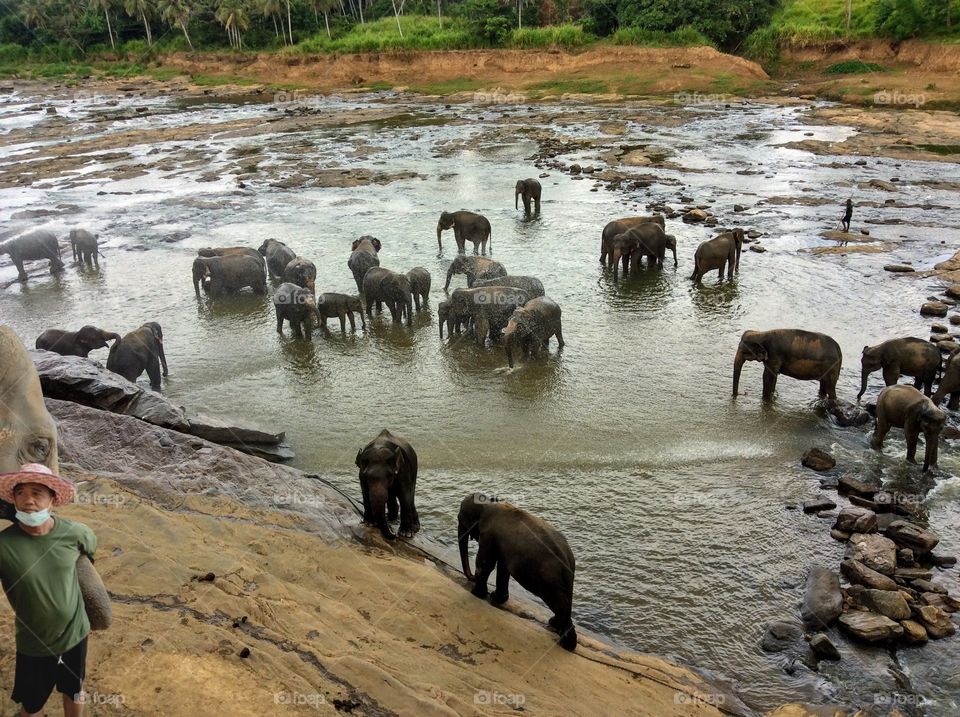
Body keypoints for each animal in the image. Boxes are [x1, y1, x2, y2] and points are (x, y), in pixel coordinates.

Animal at [457, 494, 576, 651]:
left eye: (459, 518)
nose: (471, 577)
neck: (489, 503)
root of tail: (567, 562)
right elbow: (502, 568)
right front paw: (495, 598)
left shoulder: (488, 536)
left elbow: (485, 563)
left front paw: (476, 594)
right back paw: (554, 624)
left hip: (550, 580)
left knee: (558, 604)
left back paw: (566, 644)